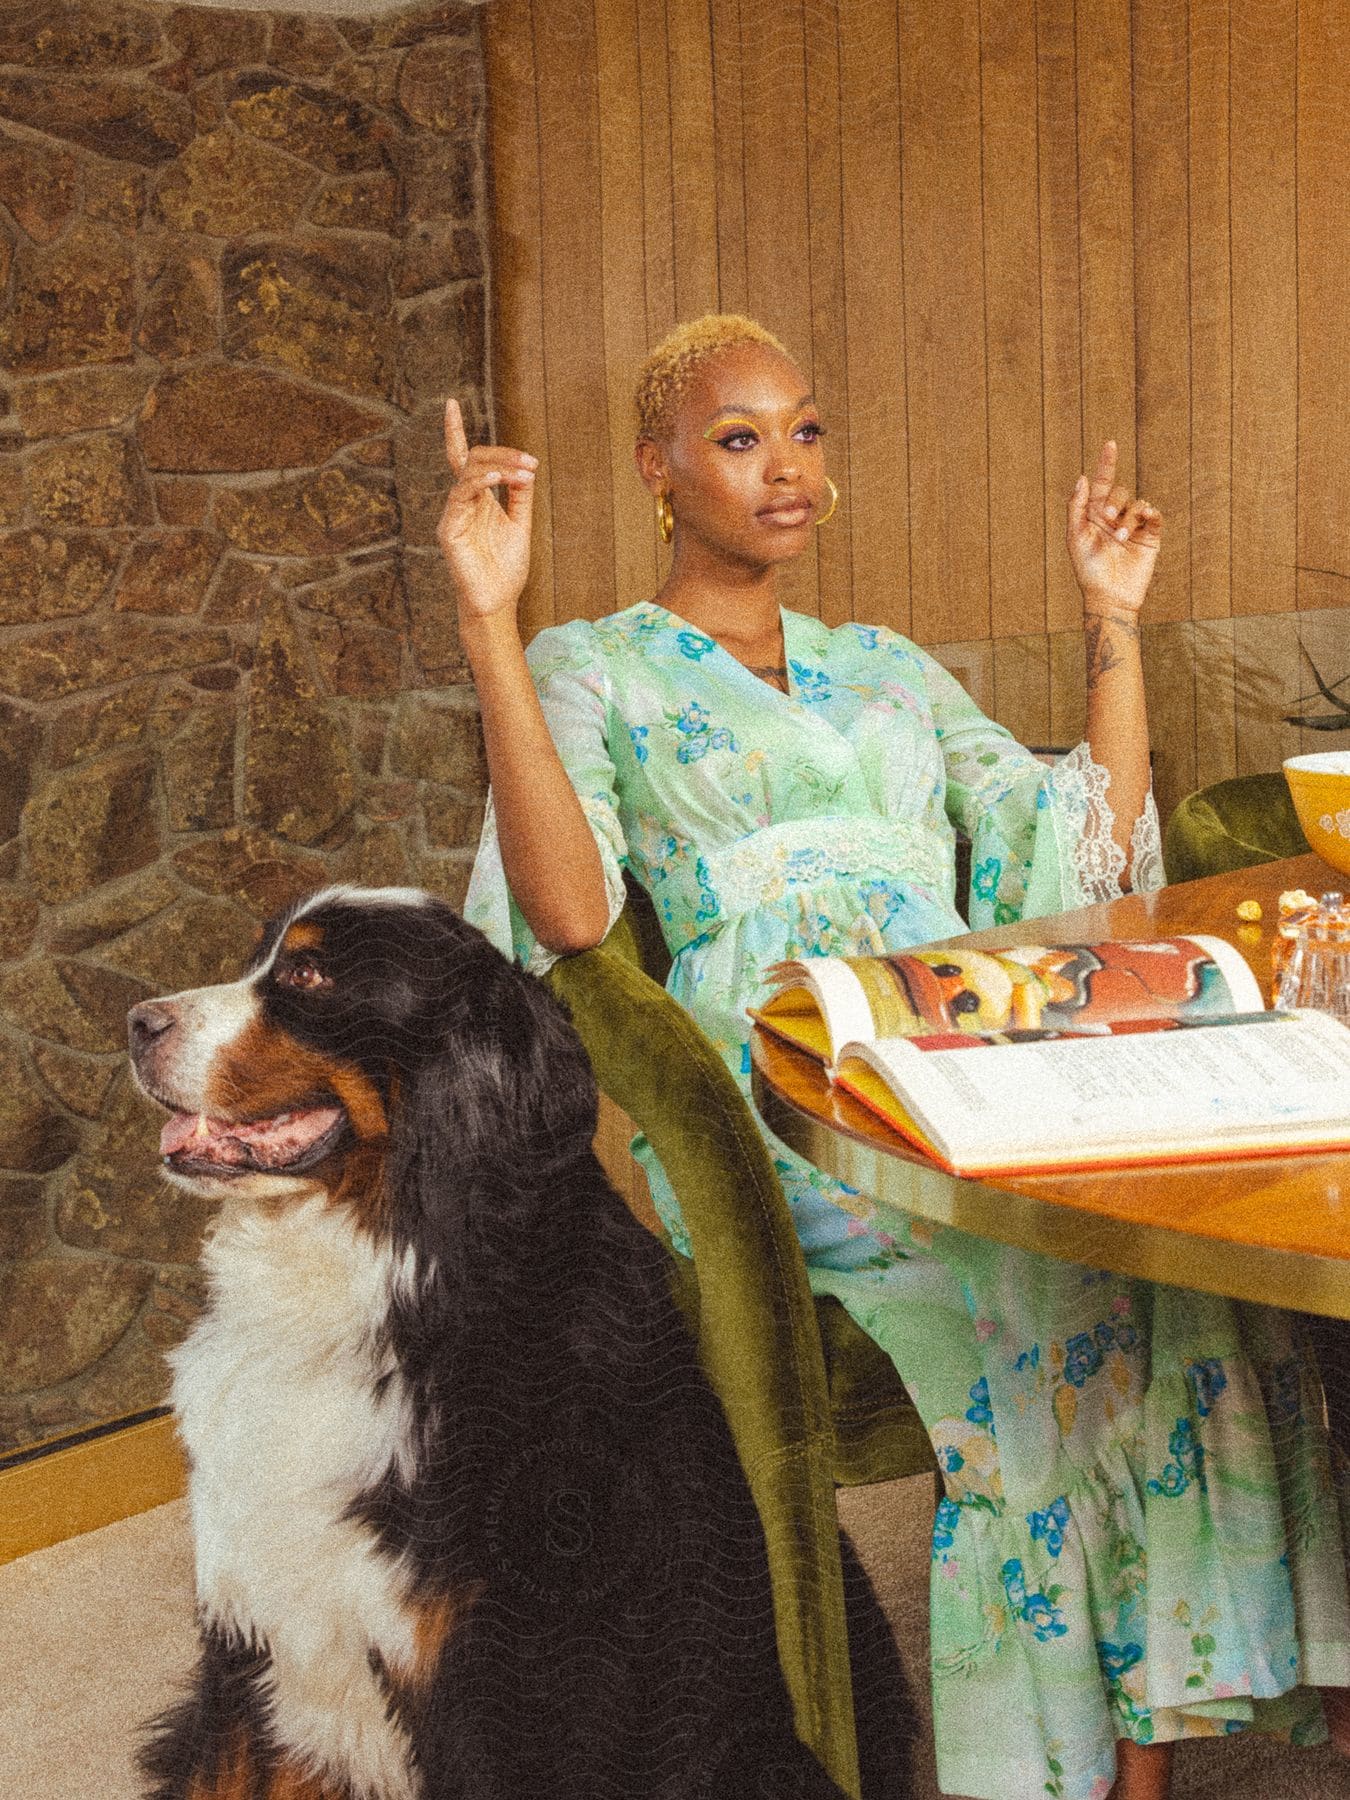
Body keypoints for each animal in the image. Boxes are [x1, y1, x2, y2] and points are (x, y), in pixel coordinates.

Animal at [132, 885, 867, 1800]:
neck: (389, 1288)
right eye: (257, 958)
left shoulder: (496, 1695)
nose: (137, 1022)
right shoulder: (245, 1654)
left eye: (309, 975)